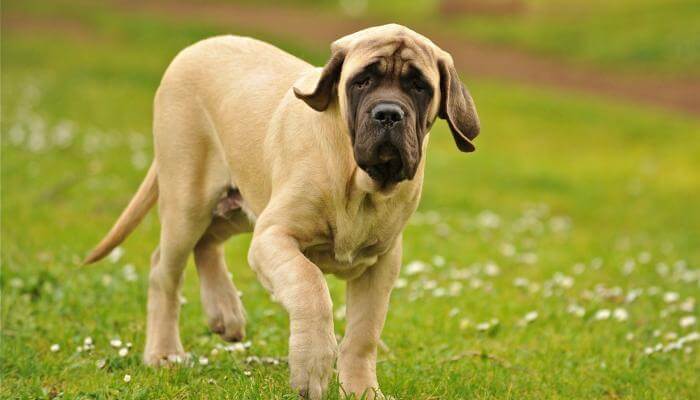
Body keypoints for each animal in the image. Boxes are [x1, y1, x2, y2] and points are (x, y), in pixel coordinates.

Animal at [80, 24, 476, 396]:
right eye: (362, 81)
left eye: (419, 86)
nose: (389, 114)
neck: (358, 182)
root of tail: (194, 48)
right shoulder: (273, 236)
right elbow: (311, 286)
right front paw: (312, 366)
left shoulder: (382, 262)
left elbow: (364, 334)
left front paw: (362, 389)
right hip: (189, 200)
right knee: (164, 269)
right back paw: (164, 352)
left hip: (240, 206)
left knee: (207, 243)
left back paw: (224, 310)